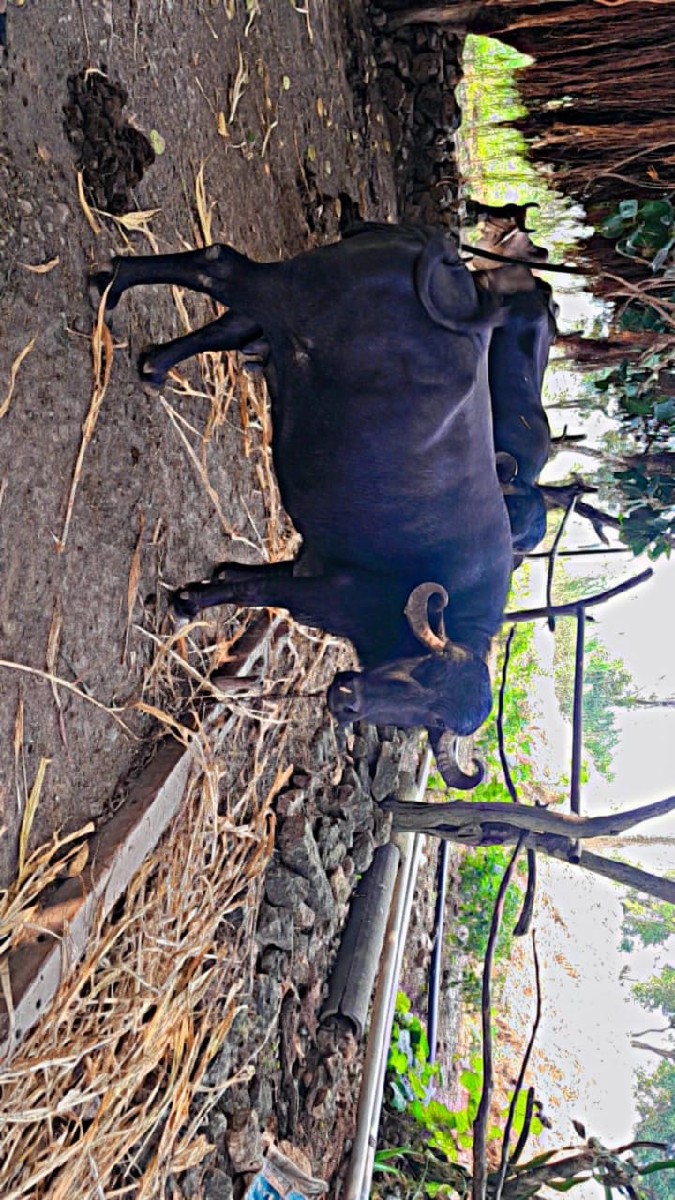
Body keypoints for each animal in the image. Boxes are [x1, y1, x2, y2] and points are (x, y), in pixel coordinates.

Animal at [93, 222, 524, 788]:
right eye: (424, 676)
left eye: (432, 718)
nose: (347, 700)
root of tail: (447, 257)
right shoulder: (330, 589)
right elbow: (257, 590)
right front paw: (189, 602)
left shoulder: (310, 563)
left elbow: (244, 577)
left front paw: (201, 591)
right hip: (289, 297)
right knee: (220, 266)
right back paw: (113, 281)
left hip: (286, 308)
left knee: (230, 322)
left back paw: (155, 364)